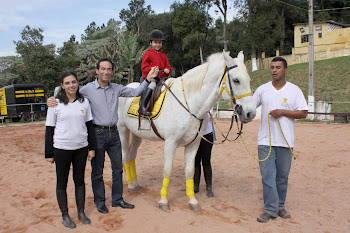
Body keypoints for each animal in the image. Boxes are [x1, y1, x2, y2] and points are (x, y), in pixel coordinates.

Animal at [117, 51, 258, 211]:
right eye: (236, 80)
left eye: (248, 80)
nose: (250, 113)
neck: (189, 103)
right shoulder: (170, 143)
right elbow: (168, 170)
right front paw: (163, 201)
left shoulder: (193, 144)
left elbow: (190, 171)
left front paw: (192, 200)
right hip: (122, 130)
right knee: (125, 156)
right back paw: (130, 184)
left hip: (137, 134)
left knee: (132, 156)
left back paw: (135, 183)